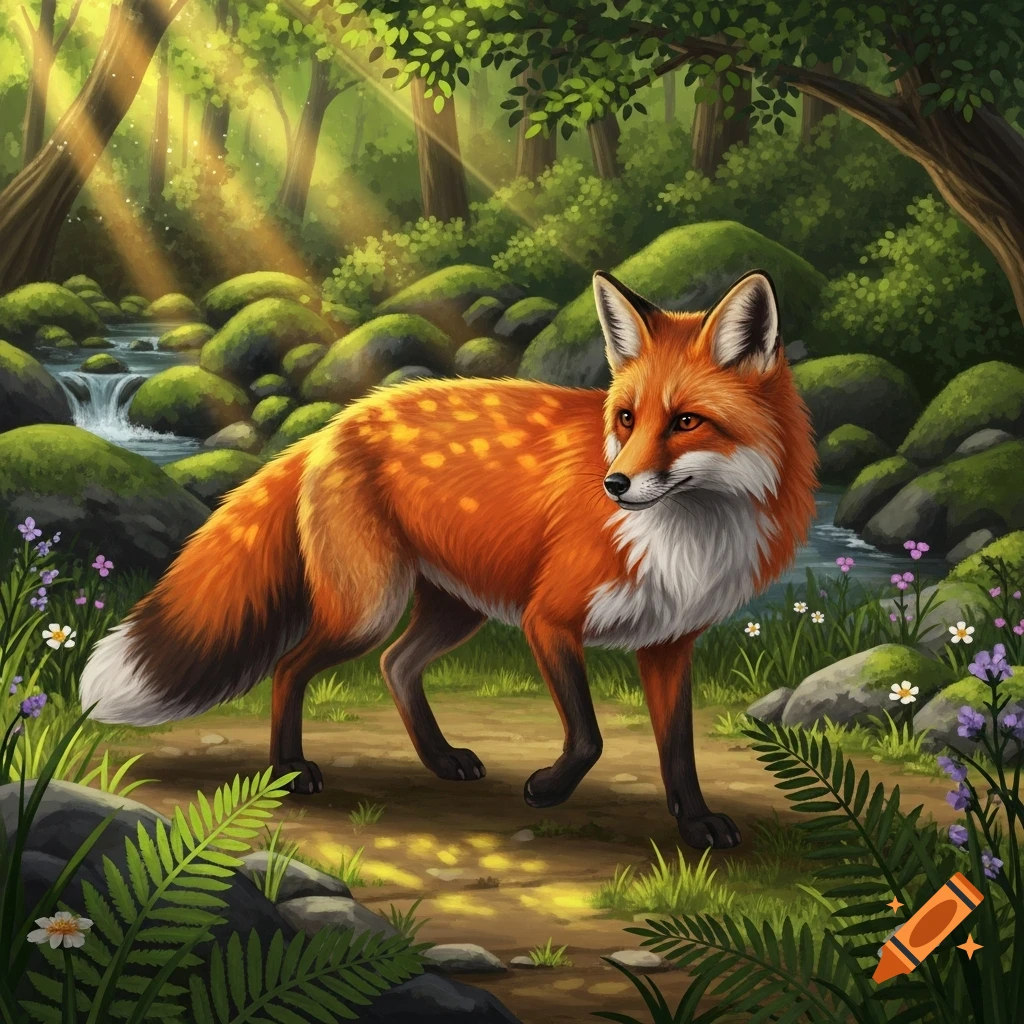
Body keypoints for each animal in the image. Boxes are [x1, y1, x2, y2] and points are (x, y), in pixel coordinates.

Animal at [79, 269, 817, 850]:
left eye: (686, 421)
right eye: (627, 419)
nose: (614, 485)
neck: (686, 537)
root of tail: (337, 421)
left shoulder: (668, 644)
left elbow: (679, 754)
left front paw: (695, 825)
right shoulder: (548, 620)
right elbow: (589, 737)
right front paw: (550, 788)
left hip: (454, 612)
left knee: (395, 666)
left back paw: (438, 759)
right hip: (369, 609)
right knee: (291, 666)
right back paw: (291, 769)